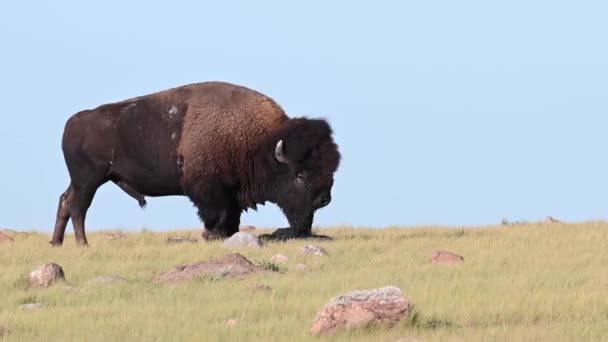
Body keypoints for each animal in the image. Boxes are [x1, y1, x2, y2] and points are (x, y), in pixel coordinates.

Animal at [50, 80, 340, 246]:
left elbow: (232, 217)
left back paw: (57, 243)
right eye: (300, 175)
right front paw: (212, 236)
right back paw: (82, 244)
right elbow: (217, 215)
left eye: (330, 169)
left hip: (84, 180)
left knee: (65, 200)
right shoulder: (209, 191)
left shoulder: (232, 194)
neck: (257, 142)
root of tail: (73, 122)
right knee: (79, 207)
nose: (324, 199)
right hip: (89, 180)